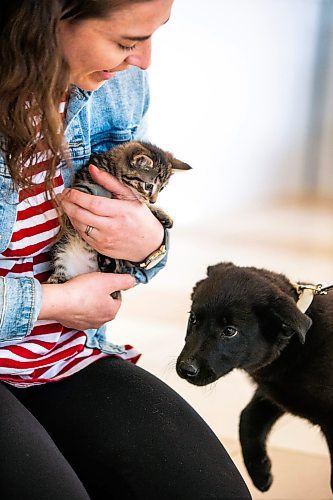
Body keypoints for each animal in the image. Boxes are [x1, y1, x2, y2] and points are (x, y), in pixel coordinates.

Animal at [46, 143, 189, 288]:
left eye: (162, 188)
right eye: (149, 186)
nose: (153, 200)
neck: (113, 169)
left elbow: (142, 205)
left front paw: (162, 214)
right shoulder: (83, 184)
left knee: (116, 268)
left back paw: (106, 261)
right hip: (61, 249)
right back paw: (56, 279)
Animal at [175, 262, 330, 492]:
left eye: (230, 331)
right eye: (193, 319)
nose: (186, 369)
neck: (296, 343)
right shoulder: (274, 392)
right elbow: (247, 417)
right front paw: (260, 472)